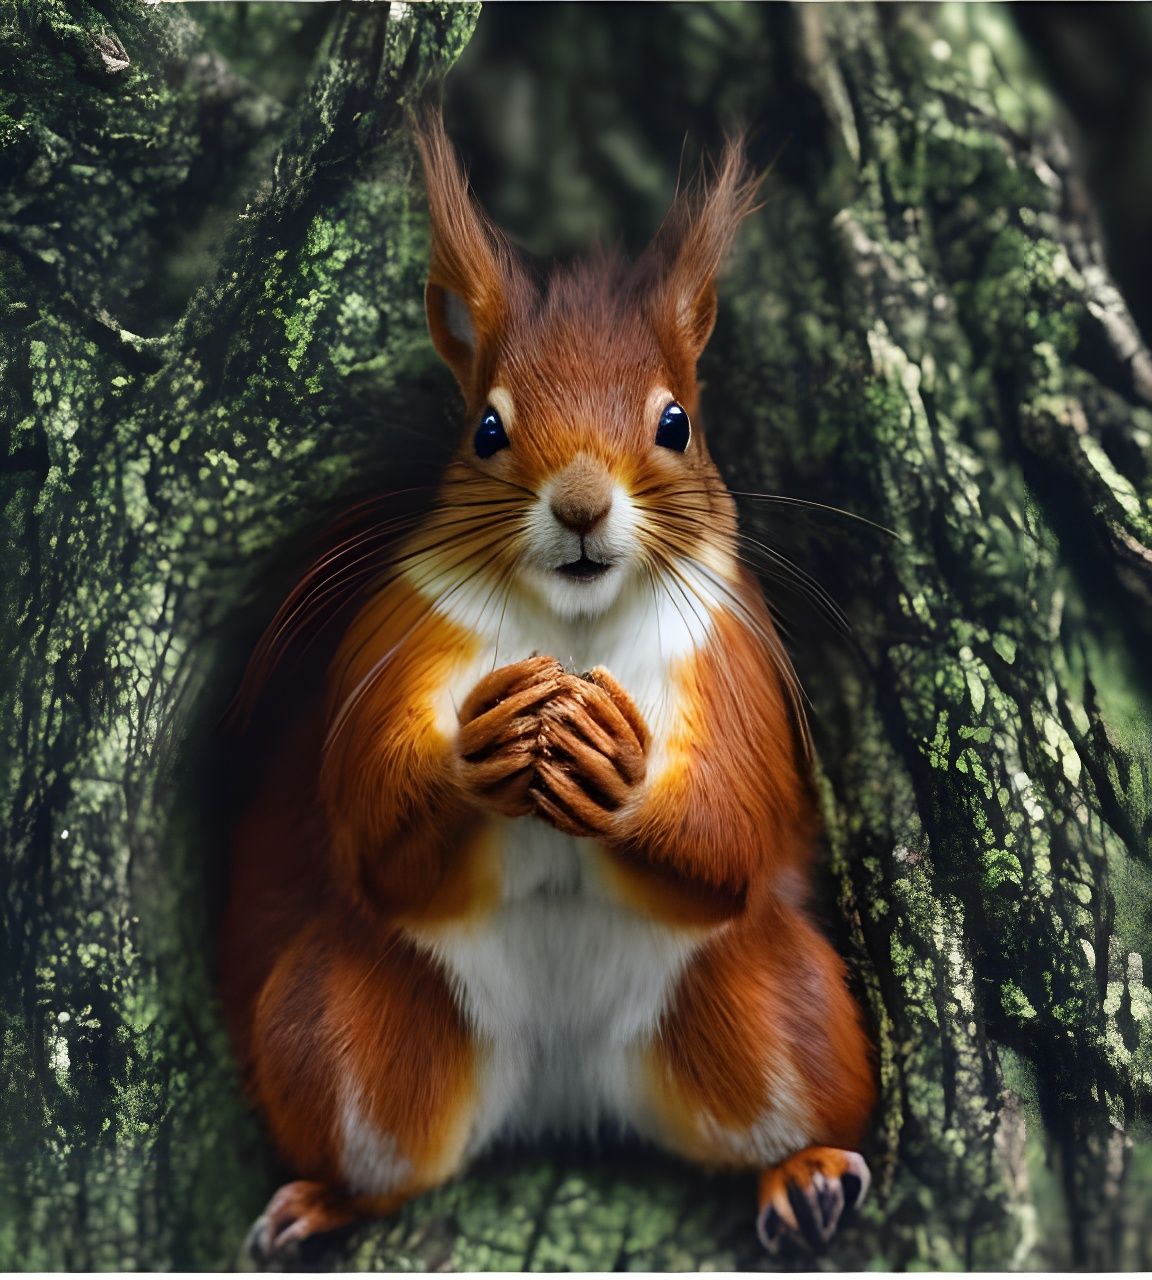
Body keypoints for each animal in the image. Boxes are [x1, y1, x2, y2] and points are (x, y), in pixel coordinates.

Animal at [220, 110, 875, 1264]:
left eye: (676, 423)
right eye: (484, 428)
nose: (578, 503)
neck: (572, 631)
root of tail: (564, 1098)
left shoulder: (736, 662)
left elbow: (732, 831)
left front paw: (618, 774)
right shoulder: (395, 640)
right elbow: (379, 844)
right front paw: (473, 749)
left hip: (774, 1008)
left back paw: (804, 1171)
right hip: (337, 1029)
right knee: (375, 1145)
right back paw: (324, 1202)